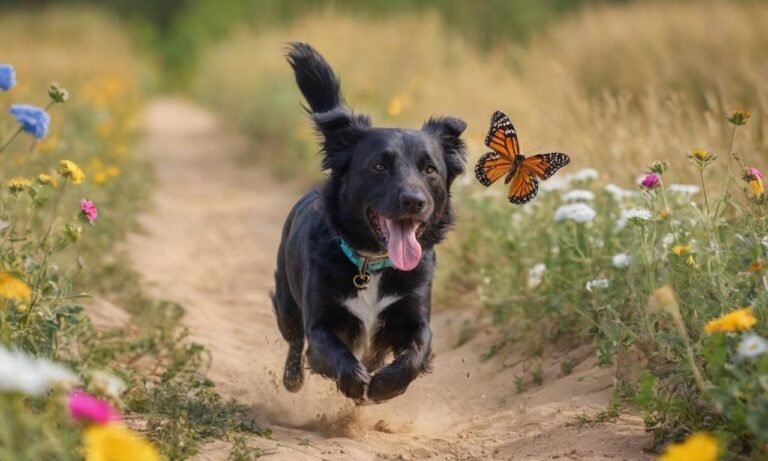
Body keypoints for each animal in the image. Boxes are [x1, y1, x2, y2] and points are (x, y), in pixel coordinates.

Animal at [274, 44, 468, 402]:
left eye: (430, 170)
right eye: (379, 166)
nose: (414, 201)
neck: (372, 264)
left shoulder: (416, 316)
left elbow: (417, 351)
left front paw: (384, 385)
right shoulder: (320, 322)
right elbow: (330, 350)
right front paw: (355, 382)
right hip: (286, 304)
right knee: (294, 339)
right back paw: (292, 378)